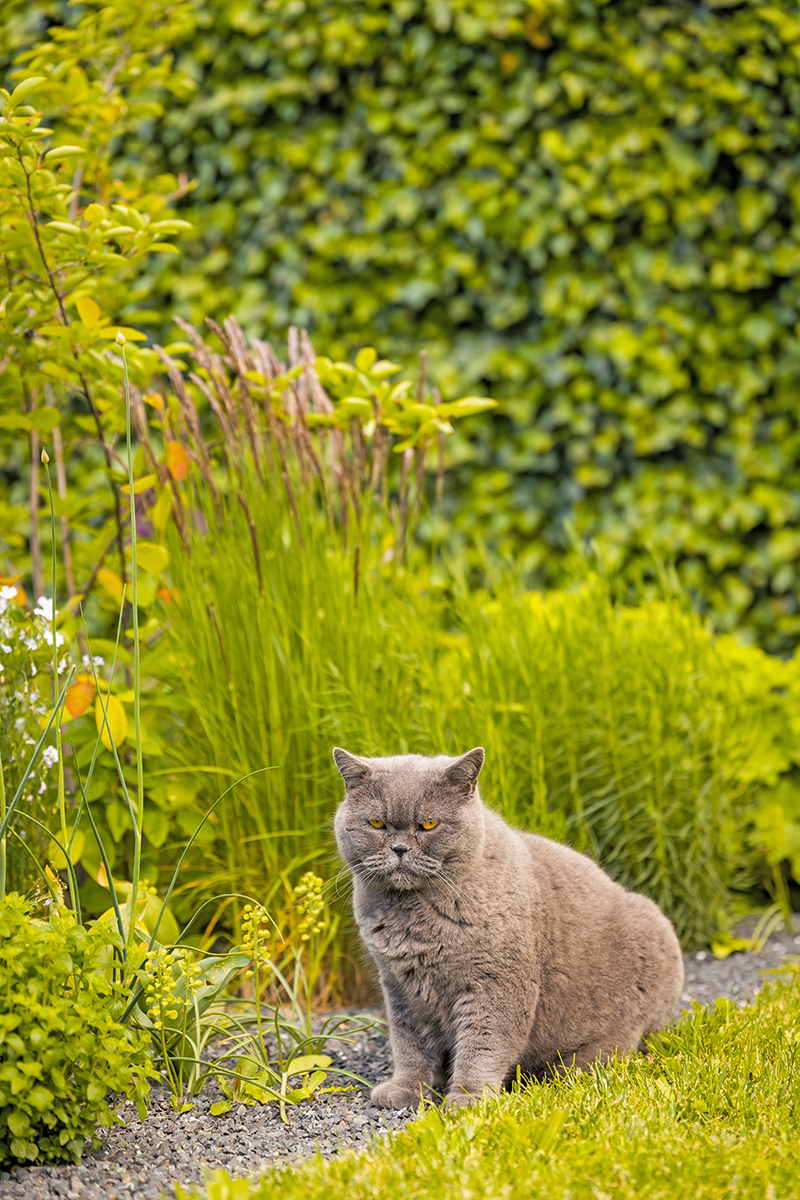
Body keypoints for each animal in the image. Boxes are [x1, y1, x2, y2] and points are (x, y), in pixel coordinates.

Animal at [331, 744, 681, 1108]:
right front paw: (406, 1090)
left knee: (616, 1050)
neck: (413, 916)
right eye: (376, 823)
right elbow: (409, 1045)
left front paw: (468, 1098)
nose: (399, 849)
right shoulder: (400, 988)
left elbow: (483, 1044)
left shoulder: (496, 983)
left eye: (428, 824)